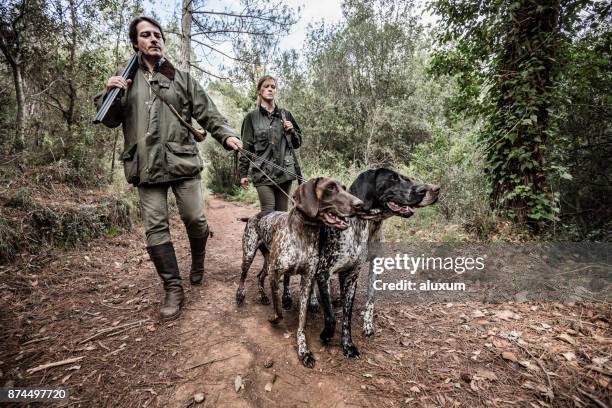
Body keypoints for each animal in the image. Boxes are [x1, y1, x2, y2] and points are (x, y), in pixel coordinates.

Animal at [235, 177, 364, 368]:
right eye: (330, 188)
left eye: (344, 188)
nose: (360, 204)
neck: (305, 231)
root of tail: (254, 215)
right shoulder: (276, 274)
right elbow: (279, 311)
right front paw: (274, 319)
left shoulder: (307, 279)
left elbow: (302, 321)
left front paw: (303, 350)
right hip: (249, 255)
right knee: (243, 276)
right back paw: (240, 295)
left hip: (267, 262)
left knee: (259, 276)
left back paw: (263, 296)